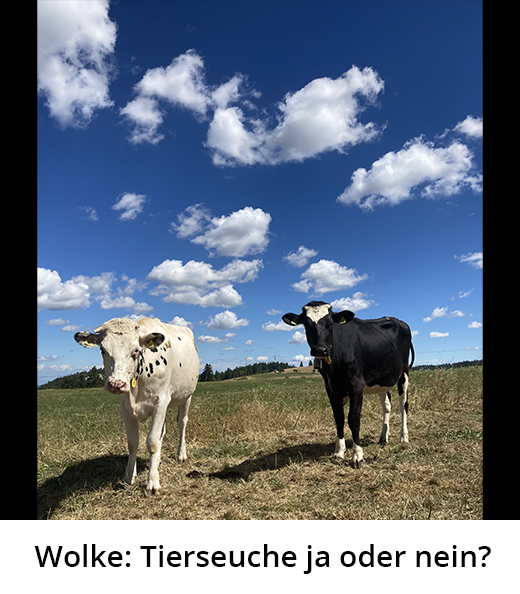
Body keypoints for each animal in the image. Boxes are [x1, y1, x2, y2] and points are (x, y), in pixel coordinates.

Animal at [74, 317, 199, 494]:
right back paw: (158, 460)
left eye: (135, 350)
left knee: (182, 422)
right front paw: (129, 476)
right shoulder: (125, 407)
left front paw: (152, 481)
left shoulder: (160, 402)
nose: (116, 384)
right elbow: (133, 443)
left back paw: (181, 454)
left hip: (186, 396)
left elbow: (152, 442)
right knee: (163, 431)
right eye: (102, 350)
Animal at [282, 301, 414, 467]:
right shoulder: (331, 387)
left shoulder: (356, 385)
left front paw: (357, 455)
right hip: (382, 379)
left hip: (404, 373)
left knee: (403, 405)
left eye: (330, 324)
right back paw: (384, 437)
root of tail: (398, 320)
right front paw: (339, 452)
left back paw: (404, 437)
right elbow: (339, 418)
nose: (320, 349)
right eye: (306, 325)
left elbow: (353, 418)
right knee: (387, 405)